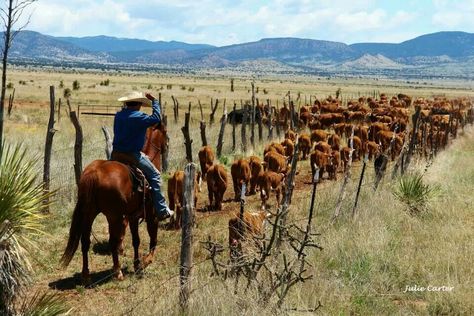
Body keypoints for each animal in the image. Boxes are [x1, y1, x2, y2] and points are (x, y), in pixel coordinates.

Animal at [61, 124, 168, 284]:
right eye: (165, 132)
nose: (167, 145)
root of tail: (93, 172)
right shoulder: (152, 215)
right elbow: (153, 239)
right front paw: (145, 262)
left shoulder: (133, 217)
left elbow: (136, 240)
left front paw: (137, 264)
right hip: (113, 217)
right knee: (113, 241)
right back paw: (117, 272)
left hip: (89, 213)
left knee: (85, 241)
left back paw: (86, 276)